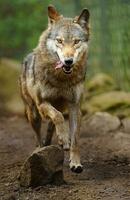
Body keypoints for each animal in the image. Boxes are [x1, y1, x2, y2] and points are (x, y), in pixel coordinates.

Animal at [19, 5, 89, 173]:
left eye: (76, 42)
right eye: (59, 41)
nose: (68, 61)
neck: (61, 80)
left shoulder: (74, 106)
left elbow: (74, 139)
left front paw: (75, 163)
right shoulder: (42, 103)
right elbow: (58, 117)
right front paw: (63, 138)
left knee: (51, 125)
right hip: (33, 113)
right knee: (39, 135)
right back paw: (40, 149)